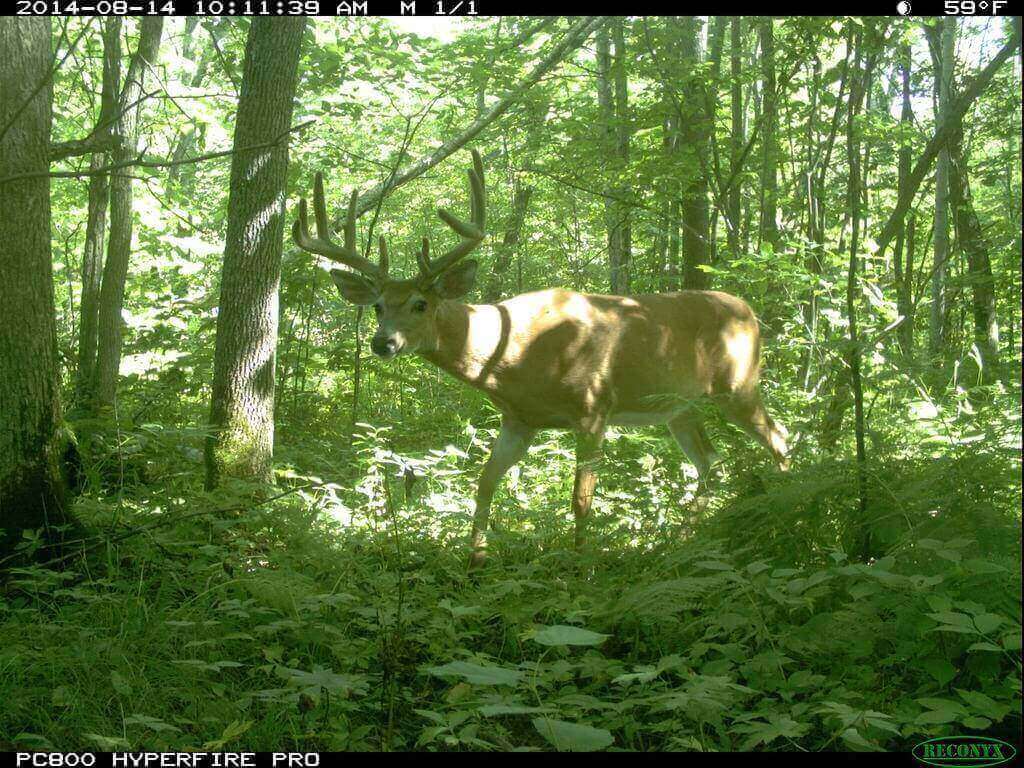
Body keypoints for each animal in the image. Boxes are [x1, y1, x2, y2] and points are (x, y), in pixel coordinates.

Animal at [292, 151, 786, 573]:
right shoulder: (519, 419)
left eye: (420, 303)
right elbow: (484, 482)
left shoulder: (593, 408)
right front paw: (474, 561)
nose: (383, 342)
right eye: (377, 305)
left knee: (779, 438)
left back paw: (790, 508)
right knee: (711, 460)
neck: (510, 354)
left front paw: (580, 567)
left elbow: (581, 499)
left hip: (740, 385)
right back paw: (682, 540)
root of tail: (751, 312)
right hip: (679, 408)